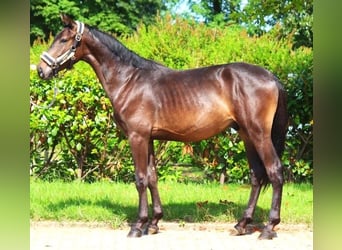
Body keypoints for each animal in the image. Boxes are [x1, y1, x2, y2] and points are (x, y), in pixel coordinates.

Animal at [37, 14, 288, 240]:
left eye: (63, 40)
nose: (41, 70)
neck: (129, 80)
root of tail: (271, 77)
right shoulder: (148, 138)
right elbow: (152, 177)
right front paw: (154, 223)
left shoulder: (136, 137)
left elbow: (140, 179)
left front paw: (138, 226)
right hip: (246, 135)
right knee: (257, 176)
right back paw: (242, 224)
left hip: (258, 134)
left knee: (275, 171)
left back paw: (268, 228)